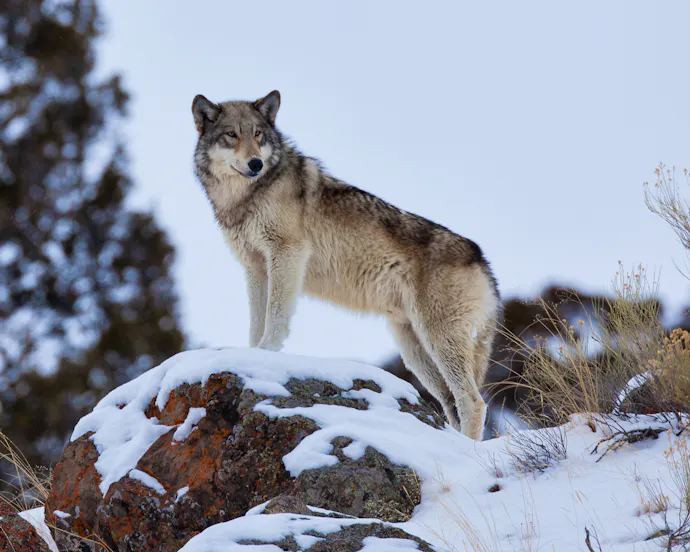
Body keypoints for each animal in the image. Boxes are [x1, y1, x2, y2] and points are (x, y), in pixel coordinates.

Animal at [191, 91, 500, 440]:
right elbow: (256, 321)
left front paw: (267, 352)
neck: (247, 196)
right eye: (232, 135)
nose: (255, 163)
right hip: (414, 349)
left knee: (472, 401)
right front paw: (251, 355)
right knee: (451, 401)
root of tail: (481, 258)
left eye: (258, 135)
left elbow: (275, 315)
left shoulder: (287, 252)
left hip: (439, 340)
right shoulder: (255, 267)